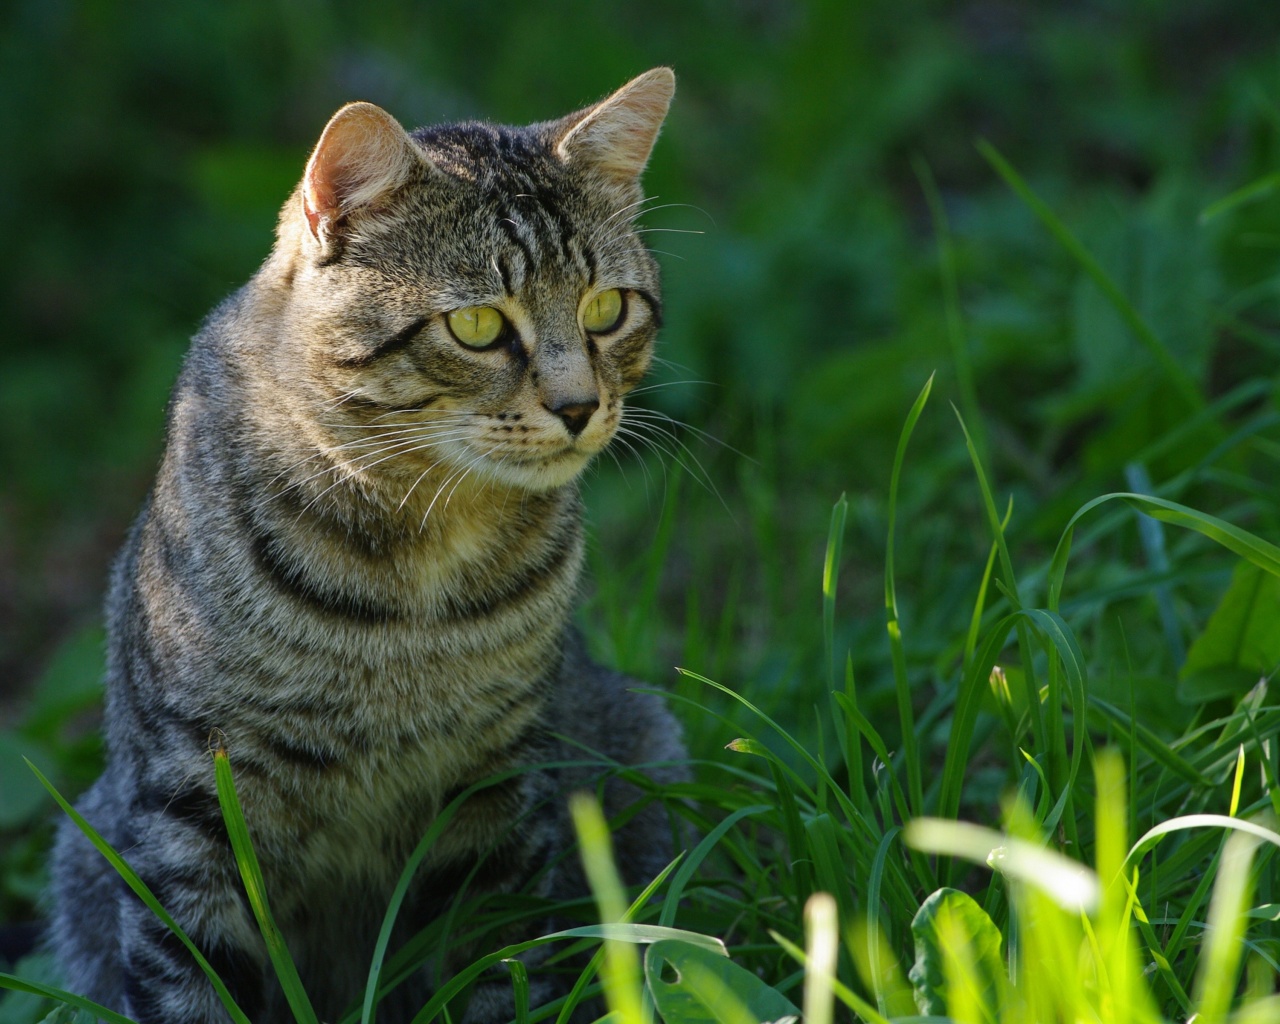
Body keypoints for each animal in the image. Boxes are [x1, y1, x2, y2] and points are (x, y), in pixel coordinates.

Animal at [47, 65, 691, 1024]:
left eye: (608, 309)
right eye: (477, 327)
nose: (580, 407)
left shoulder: (497, 789)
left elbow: (496, 965)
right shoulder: (190, 802)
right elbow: (189, 983)